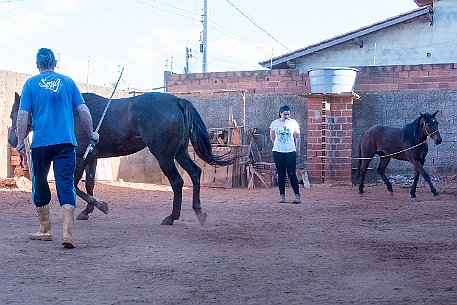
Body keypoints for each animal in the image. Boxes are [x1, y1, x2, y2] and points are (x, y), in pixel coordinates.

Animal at [8, 91, 242, 224]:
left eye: (13, 114)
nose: (12, 140)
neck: (74, 113)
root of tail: (177, 101)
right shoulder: (91, 158)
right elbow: (90, 184)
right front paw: (87, 211)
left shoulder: (80, 156)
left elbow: (73, 185)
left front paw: (99, 206)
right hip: (180, 152)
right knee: (194, 173)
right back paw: (198, 212)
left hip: (164, 156)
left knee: (177, 182)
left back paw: (171, 217)